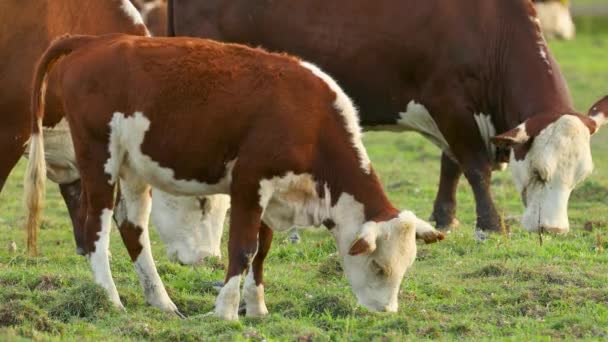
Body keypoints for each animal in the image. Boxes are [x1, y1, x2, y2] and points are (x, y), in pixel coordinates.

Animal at [25, 33, 436, 320]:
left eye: (405, 268)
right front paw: (224, 311)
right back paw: (109, 299)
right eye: (379, 266)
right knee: (96, 224)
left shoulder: (273, 195)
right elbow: (243, 248)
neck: (310, 120)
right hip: (100, 158)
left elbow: (262, 250)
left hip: (132, 168)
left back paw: (161, 301)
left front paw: (256, 309)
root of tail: (95, 41)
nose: (386, 312)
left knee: (132, 227)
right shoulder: (249, 183)